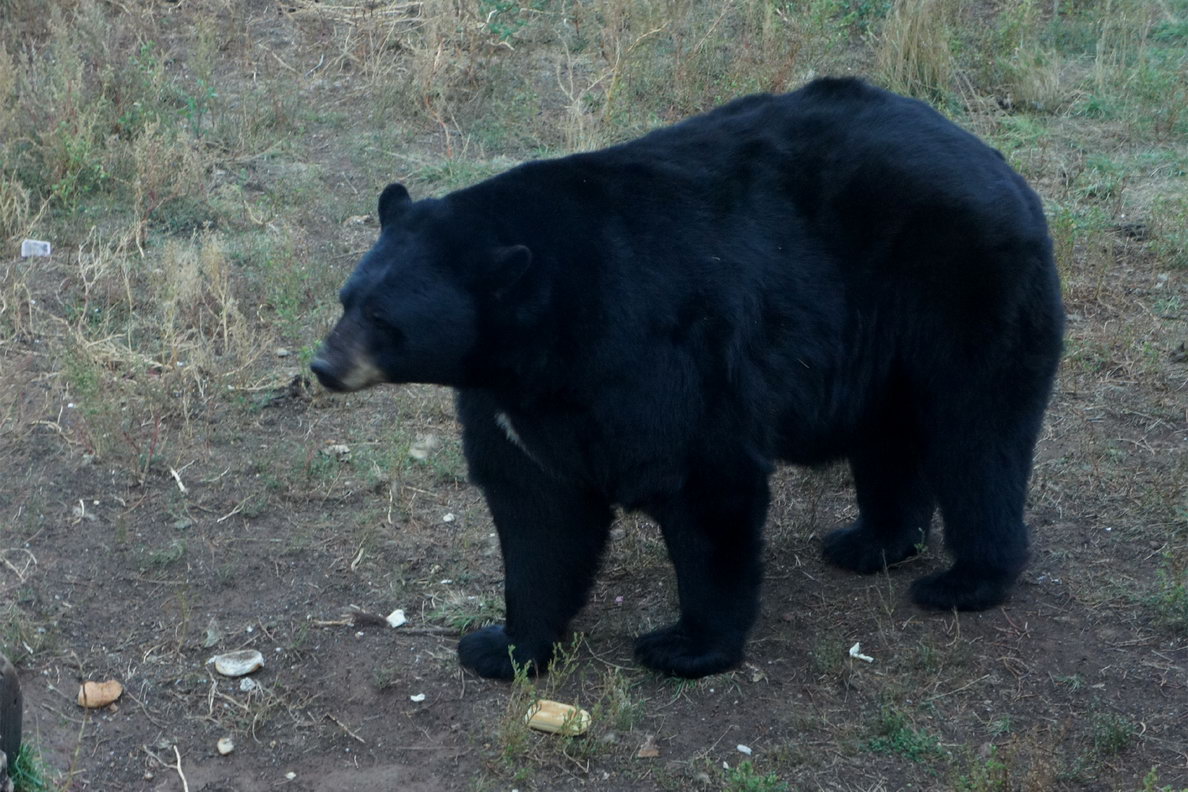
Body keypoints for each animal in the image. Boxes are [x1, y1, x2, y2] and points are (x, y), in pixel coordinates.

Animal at [311, 75, 1064, 683]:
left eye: (382, 317)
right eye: (347, 298)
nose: (323, 365)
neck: (541, 332)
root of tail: (996, 162)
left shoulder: (658, 352)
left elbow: (705, 484)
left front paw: (684, 647)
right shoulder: (516, 404)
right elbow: (536, 512)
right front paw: (504, 647)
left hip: (962, 289)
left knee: (977, 436)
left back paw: (967, 580)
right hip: (885, 341)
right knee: (890, 436)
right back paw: (869, 542)